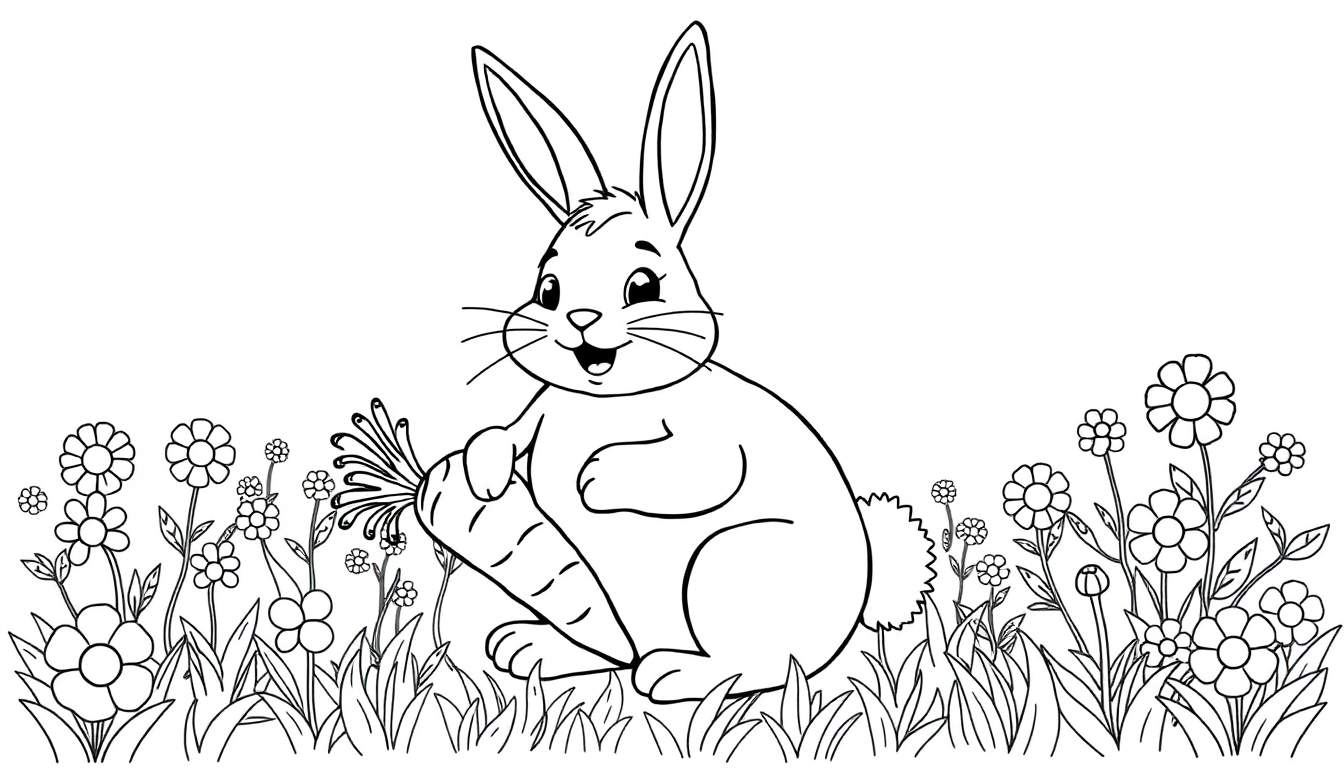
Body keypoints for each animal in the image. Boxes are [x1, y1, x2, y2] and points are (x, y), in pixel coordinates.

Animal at [333, 22, 928, 704]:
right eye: (548, 290)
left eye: (643, 285)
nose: (579, 319)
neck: (607, 404)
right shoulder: (538, 415)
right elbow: (502, 435)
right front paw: (482, 475)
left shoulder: (709, 436)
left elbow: (704, 467)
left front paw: (595, 480)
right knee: (613, 646)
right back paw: (531, 647)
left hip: (729, 567)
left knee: (767, 666)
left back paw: (675, 674)